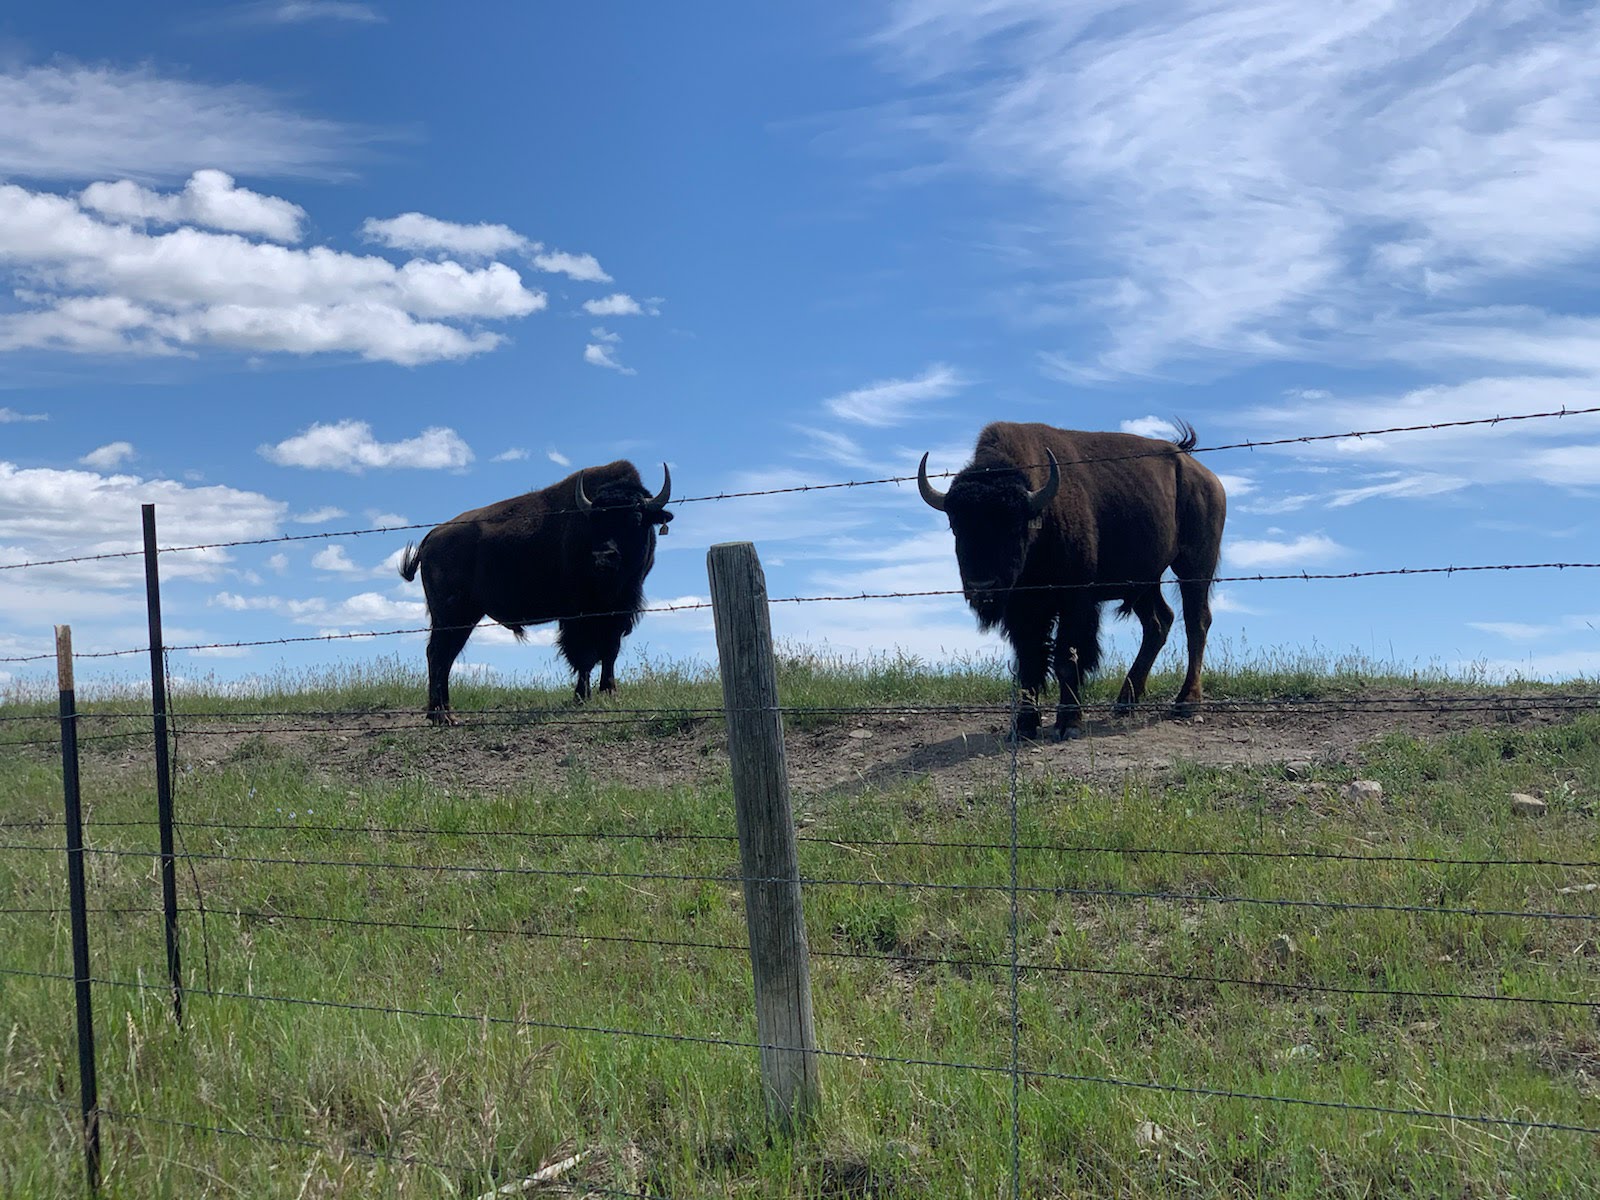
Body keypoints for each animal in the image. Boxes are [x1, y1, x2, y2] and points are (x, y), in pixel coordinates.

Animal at [398, 460, 674, 722]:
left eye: (636, 517)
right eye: (594, 521)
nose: (603, 557)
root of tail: (432, 536)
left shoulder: (618, 611)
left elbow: (610, 651)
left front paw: (609, 692)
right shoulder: (577, 616)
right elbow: (583, 655)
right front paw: (581, 696)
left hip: (463, 617)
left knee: (444, 656)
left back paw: (444, 713)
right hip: (451, 616)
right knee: (438, 654)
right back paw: (441, 715)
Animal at [917, 421, 1226, 740]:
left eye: (1015, 526)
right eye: (956, 525)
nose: (983, 587)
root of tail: (1203, 475)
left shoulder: (1074, 601)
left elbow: (1067, 658)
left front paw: (1069, 724)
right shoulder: (1021, 610)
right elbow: (1030, 661)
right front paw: (1023, 727)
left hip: (1194, 565)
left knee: (1196, 622)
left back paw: (1186, 702)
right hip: (1145, 581)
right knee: (1159, 622)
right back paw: (1124, 701)